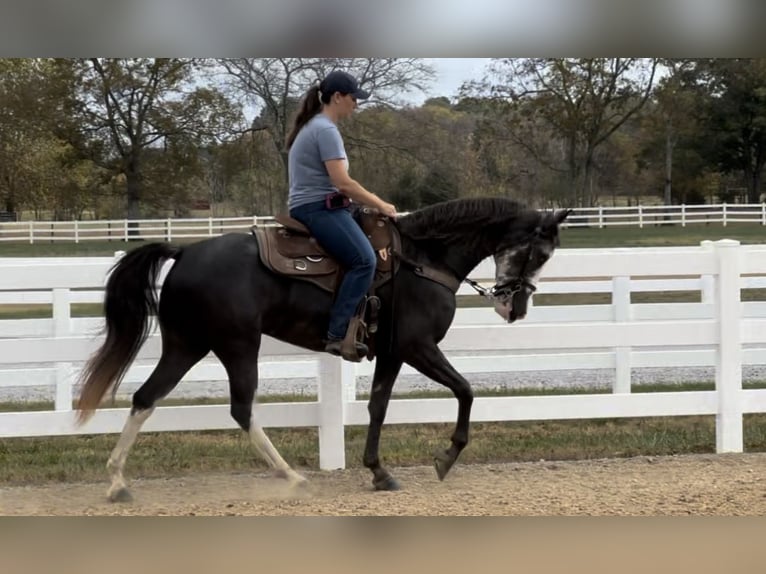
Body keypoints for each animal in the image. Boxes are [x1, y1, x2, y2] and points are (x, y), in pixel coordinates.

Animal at [76, 196, 568, 502]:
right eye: (540, 254)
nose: (516, 307)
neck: (422, 259)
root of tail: (184, 252)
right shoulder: (417, 346)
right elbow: (466, 390)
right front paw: (445, 459)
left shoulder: (392, 353)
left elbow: (377, 407)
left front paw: (378, 471)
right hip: (238, 345)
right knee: (241, 408)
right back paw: (292, 477)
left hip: (186, 345)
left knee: (146, 398)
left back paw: (117, 484)